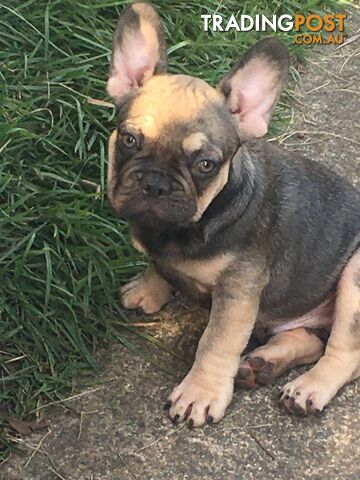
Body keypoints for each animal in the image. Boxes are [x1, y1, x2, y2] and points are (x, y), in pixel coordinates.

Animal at [106, 0, 360, 428]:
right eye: (128, 139)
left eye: (205, 164)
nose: (156, 183)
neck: (183, 229)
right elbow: (157, 265)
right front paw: (148, 288)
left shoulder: (239, 291)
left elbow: (216, 343)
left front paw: (200, 393)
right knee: (307, 338)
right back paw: (261, 364)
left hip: (355, 278)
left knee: (344, 352)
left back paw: (308, 387)